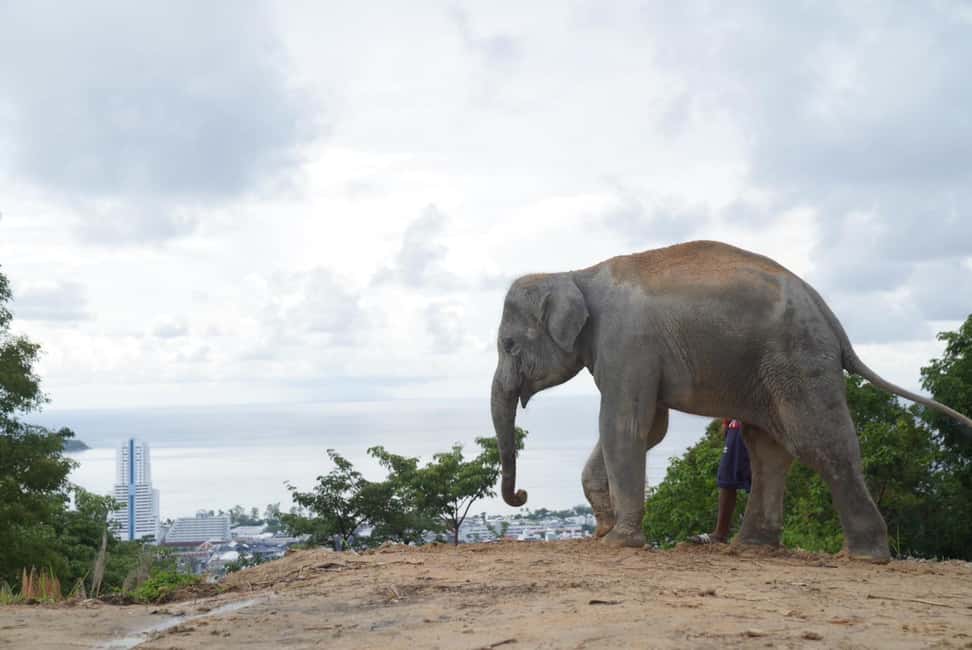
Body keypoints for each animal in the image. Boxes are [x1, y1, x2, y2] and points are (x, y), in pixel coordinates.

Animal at [490, 240, 972, 562]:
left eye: (509, 345)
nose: (522, 495)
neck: (574, 273)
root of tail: (830, 316)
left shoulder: (627, 342)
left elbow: (624, 424)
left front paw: (618, 541)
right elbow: (651, 428)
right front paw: (605, 530)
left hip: (797, 358)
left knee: (819, 444)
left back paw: (864, 556)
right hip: (769, 370)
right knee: (769, 449)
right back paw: (752, 546)